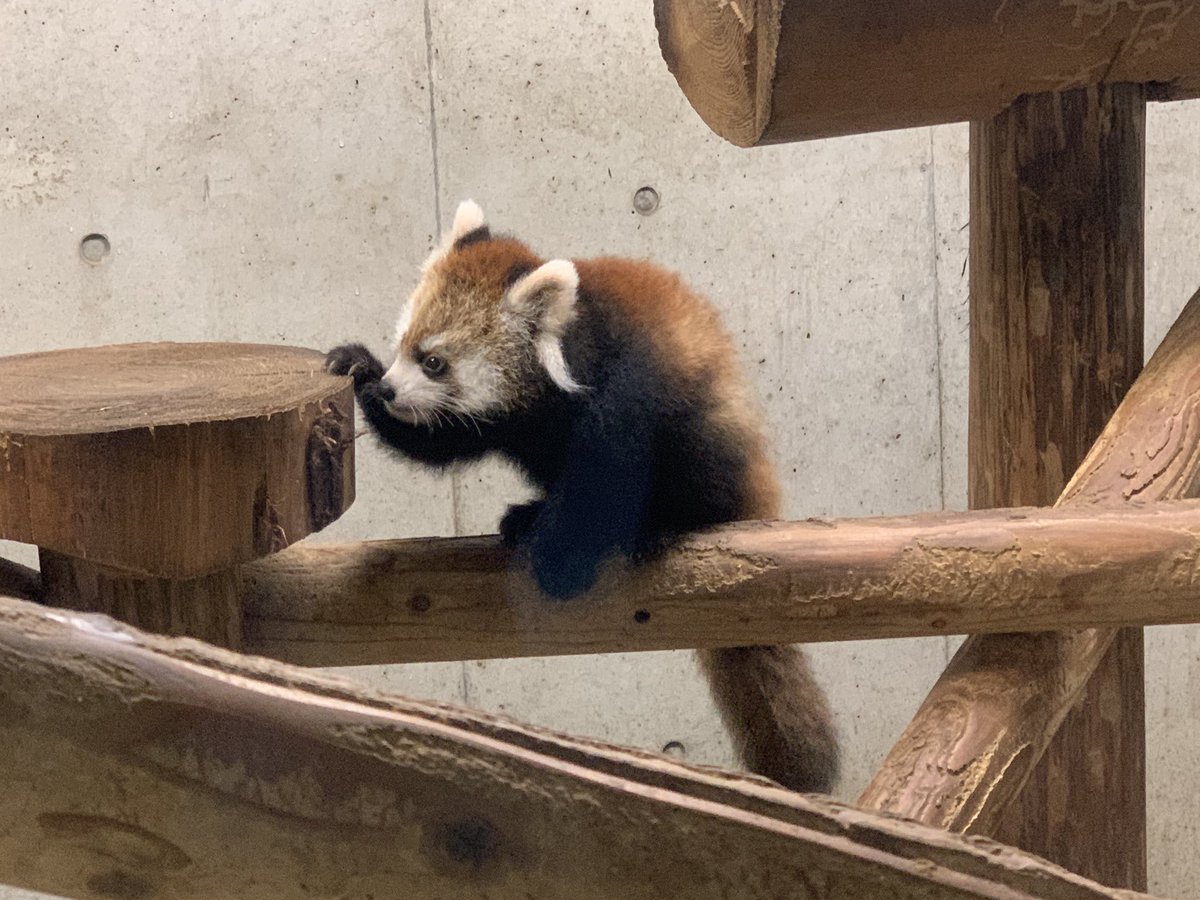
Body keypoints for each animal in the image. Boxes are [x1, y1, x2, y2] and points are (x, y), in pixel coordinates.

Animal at [324, 200, 840, 792]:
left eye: (435, 362)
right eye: (403, 345)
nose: (389, 389)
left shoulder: (626, 391)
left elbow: (601, 486)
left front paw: (559, 563)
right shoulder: (506, 423)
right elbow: (441, 441)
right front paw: (357, 367)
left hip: (711, 434)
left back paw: (664, 524)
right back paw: (530, 514)